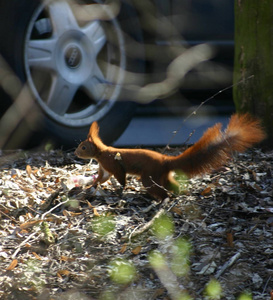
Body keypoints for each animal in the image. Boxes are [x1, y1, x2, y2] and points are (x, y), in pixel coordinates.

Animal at [74, 113, 264, 200]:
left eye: (83, 147)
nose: (75, 153)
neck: (100, 153)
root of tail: (166, 161)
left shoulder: (111, 164)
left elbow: (121, 178)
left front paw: (120, 190)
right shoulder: (104, 168)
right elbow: (102, 178)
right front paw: (92, 184)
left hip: (150, 177)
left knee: (161, 191)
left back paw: (160, 199)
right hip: (161, 176)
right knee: (172, 186)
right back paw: (178, 194)